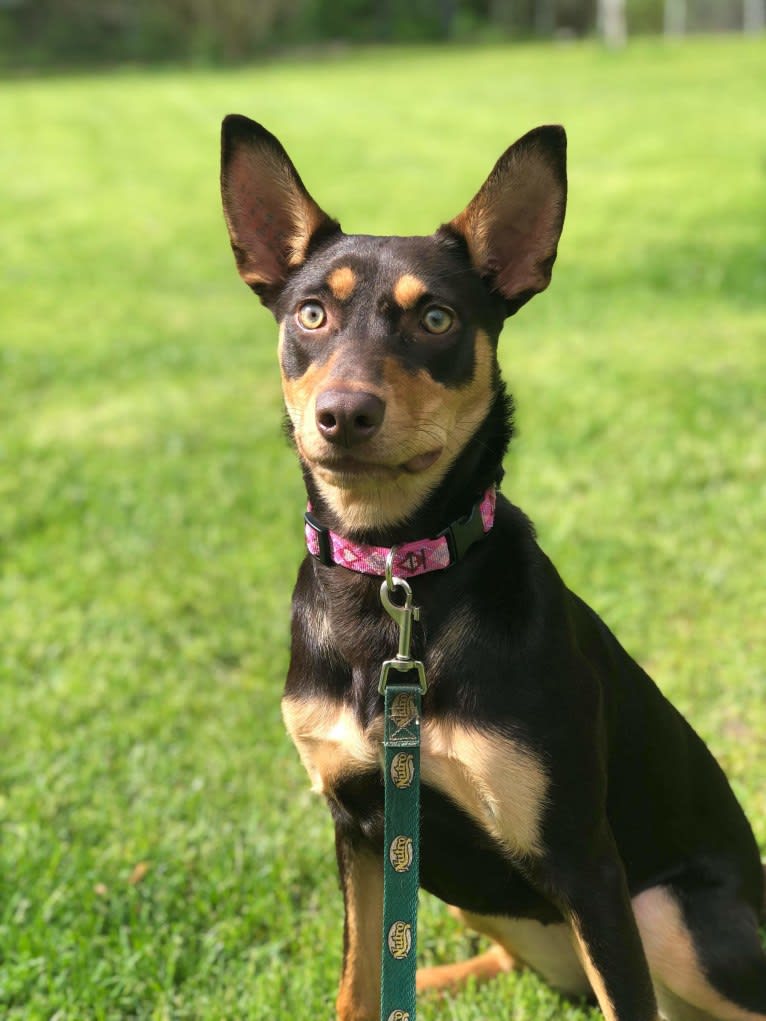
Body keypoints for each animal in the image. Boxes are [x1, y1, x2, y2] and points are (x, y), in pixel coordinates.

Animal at [218, 117, 763, 1021]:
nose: (344, 414)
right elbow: (356, 983)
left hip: (667, 914)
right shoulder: (358, 825)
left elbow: (624, 998)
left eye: (437, 318)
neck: (392, 576)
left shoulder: (584, 858)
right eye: (311, 312)